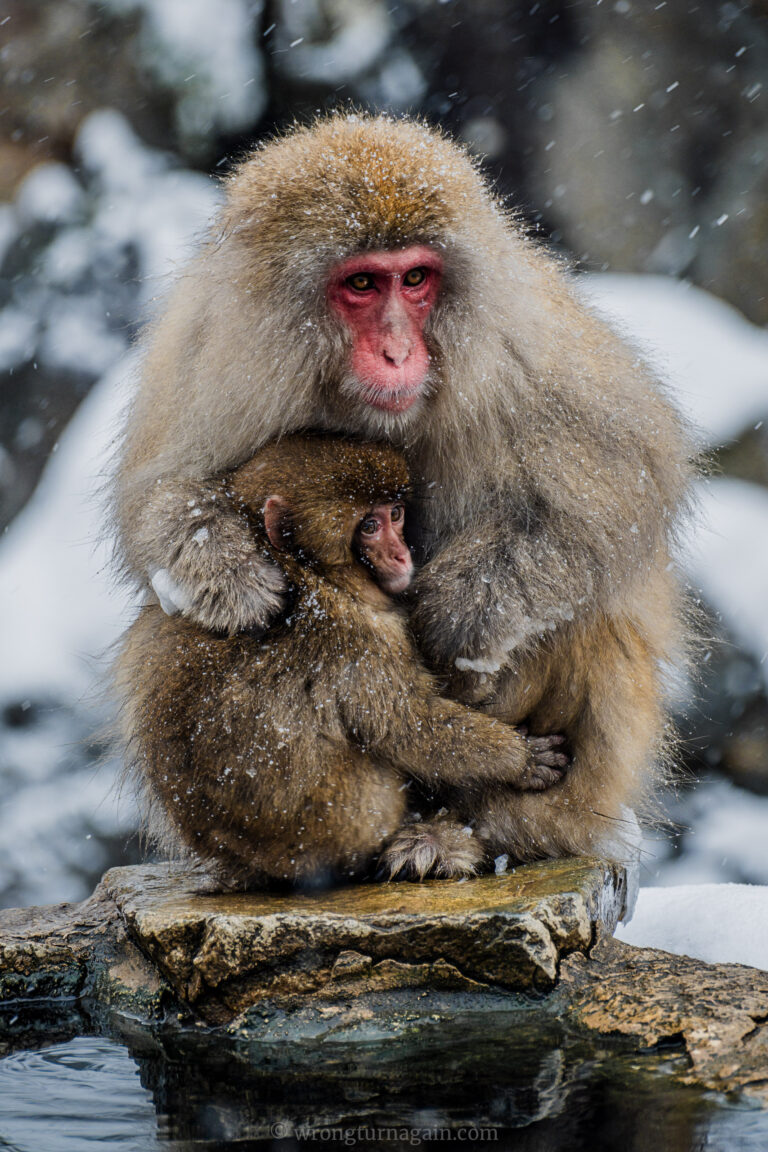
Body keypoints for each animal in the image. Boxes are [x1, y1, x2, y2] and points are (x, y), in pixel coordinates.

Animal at [116, 435, 570, 888]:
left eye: (395, 514)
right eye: (369, 526)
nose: (402, 555)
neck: (309, 570)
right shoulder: (360, 638)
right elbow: (407, 724)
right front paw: (519, 759)